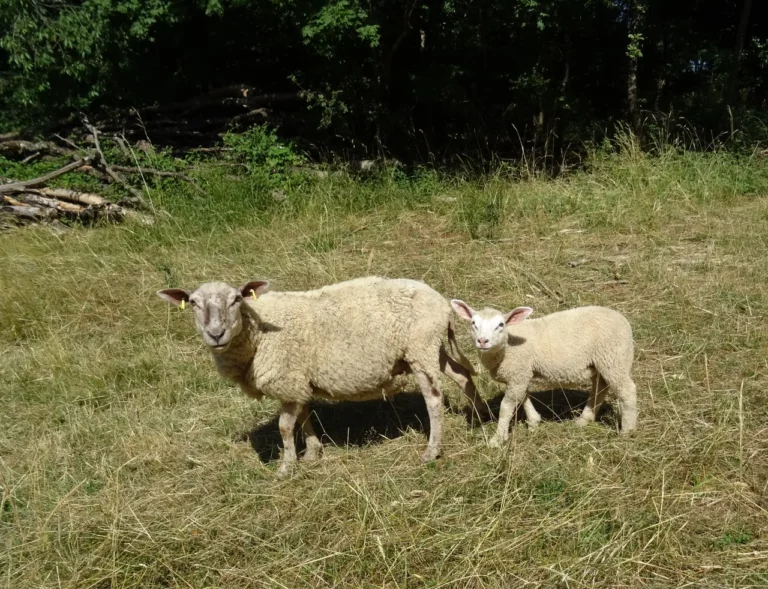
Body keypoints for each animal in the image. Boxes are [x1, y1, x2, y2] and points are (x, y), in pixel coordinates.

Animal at [158, 276, 486, 474]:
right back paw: (480, 415)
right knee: (462, 375)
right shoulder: (297, 380)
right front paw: (313, 452)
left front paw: (286, 467)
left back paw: (432, 450)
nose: (216, 334)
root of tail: (441, 302)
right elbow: (303, 415)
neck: (257, 333)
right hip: (430, 349)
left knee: (434, 399)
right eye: (194, 303)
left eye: (236, 299)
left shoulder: (287, 377)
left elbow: (284, 427)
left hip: (421, 348)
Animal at [450, 304, 636, 446]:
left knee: (627, 391)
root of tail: (623, 321)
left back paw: (627, 431)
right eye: (473, 323)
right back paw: (584, 420)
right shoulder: (520, 374)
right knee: (600, 388)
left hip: (615, 358)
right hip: (600, 363)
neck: (506, 347)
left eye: (501, 325)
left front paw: (497, 439)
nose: (482, 341)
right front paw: (533, 422)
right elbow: (523, 397)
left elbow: (506, 407)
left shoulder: (518, 372)